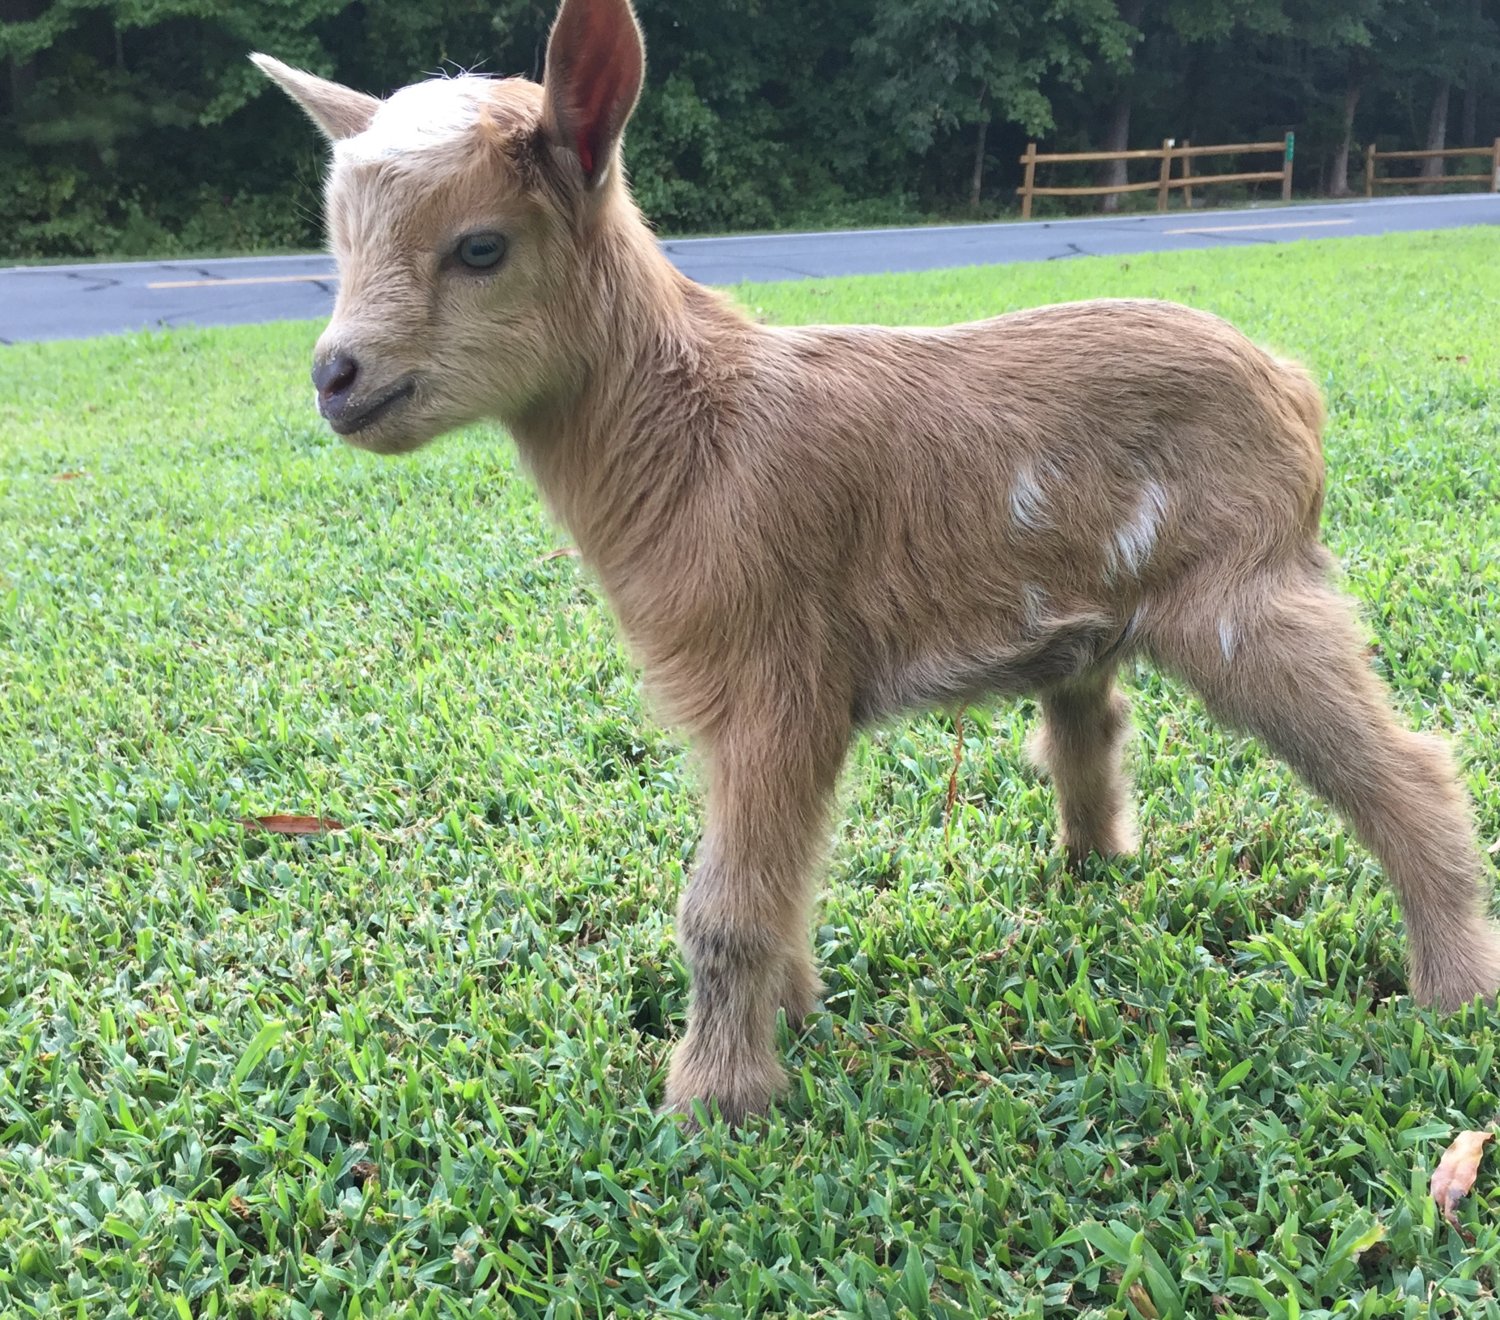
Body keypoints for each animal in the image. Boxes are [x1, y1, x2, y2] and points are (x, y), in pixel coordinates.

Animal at [255, 0, 1500, 1122]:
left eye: (480, 247)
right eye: (339, 247)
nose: (336, 377)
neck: (694, 434)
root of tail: (1298, 389)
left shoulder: (777, 668)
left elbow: (724, 907)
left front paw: (713, 1104)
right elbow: (782, 874)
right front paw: (795, 1016)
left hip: (1244, 587)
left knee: (1402, 765)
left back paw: (1453, 990)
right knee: (1091, 721)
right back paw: (1092, 875)